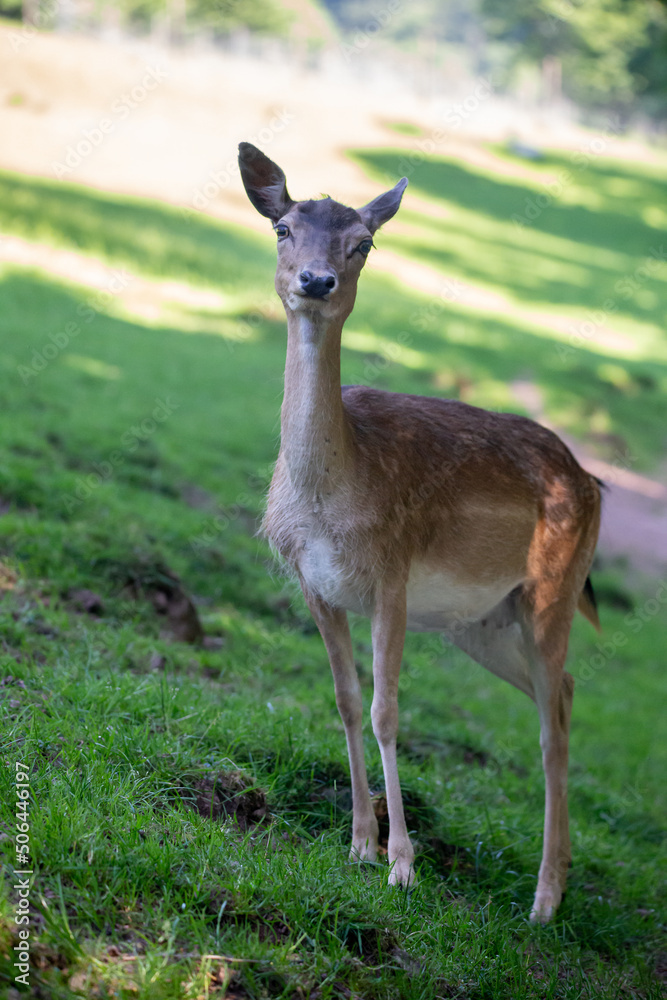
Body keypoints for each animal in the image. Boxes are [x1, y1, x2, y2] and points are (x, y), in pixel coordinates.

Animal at [238, 141, 602, 924]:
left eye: (363, 243)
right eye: (282, 228)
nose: (317, 280)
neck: (329, 503)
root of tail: (591, 482)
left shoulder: (393, 578)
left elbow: (386, 710)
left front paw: (402, 864)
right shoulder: (315, 585)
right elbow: (346, 702)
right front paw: (358, 844)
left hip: (552, 589)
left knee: (550, 724)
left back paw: (544, 900)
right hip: (482, 624)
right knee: (562, 693)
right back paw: (557, 874)